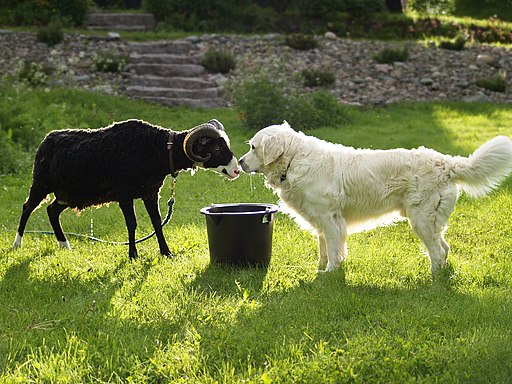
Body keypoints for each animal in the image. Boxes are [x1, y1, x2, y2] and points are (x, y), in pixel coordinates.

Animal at [12, 118, 240, 260]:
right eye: (216, 148)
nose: (236, 170)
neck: (159, 150)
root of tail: (46, 139)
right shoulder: (124, 194)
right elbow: (132, 224)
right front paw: (133, 255)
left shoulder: (151, 192)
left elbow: (157, 222)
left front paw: (166, 253)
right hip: (41, 183)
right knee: (27, 207)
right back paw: (17, 243)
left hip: (67, 194)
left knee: (52, 211)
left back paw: (64, 244)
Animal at [239, 121, 512, 274]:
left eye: (253, 147)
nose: (240, 162)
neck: (294, 159)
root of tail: (446, 163)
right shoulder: (320, 221)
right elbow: (324, 249)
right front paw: (319, 270)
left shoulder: (330, 218)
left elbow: (334, 249)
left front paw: (330, 273)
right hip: (430, 221)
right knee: (444, 247)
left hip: (421, 219)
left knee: (436, 252)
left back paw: (433, 280)